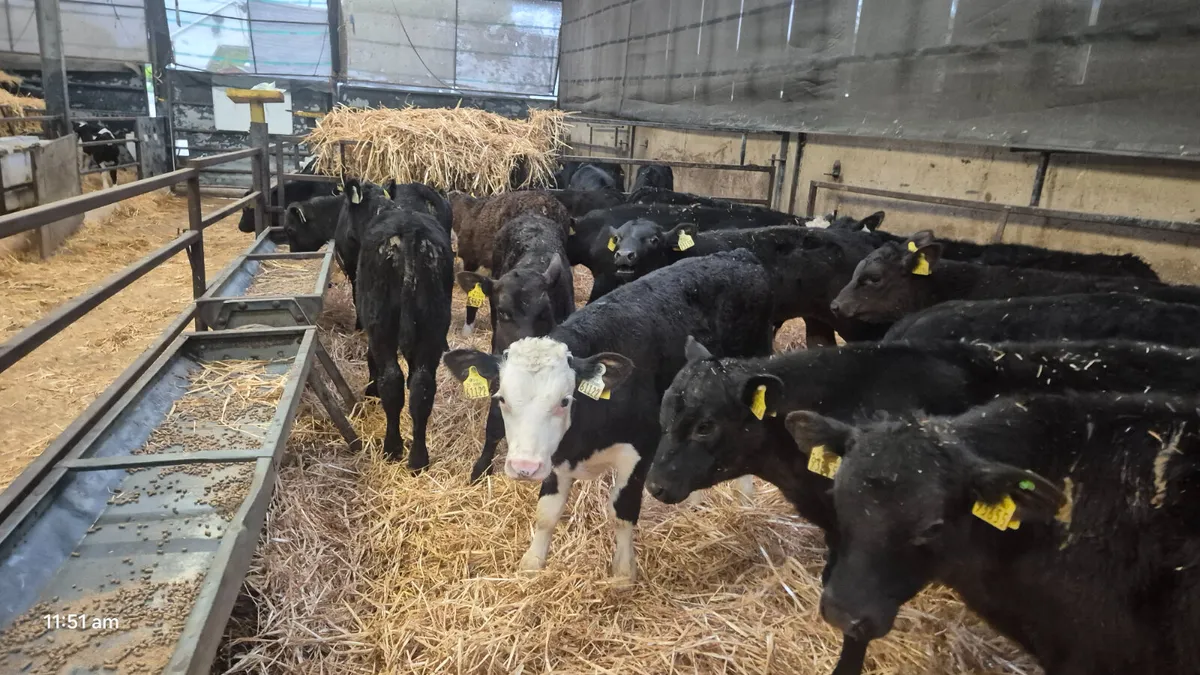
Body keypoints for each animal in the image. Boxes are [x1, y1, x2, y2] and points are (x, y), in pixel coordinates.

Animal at [356, 204, 454, 470]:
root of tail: (409, 231)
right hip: (433, 326)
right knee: (422, 387)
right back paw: (418, 459)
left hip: (380, 324)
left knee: (391, 381)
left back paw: (392, 448)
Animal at [443, 250, 776, 580]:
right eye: (502, 399)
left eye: (564, 401)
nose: (525, 467)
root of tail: (739, 255)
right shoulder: (554, 455)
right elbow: (546, 514)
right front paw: (532, 563)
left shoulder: (640, 450)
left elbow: (622, 512)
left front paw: (623, 573)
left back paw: (746, 500)